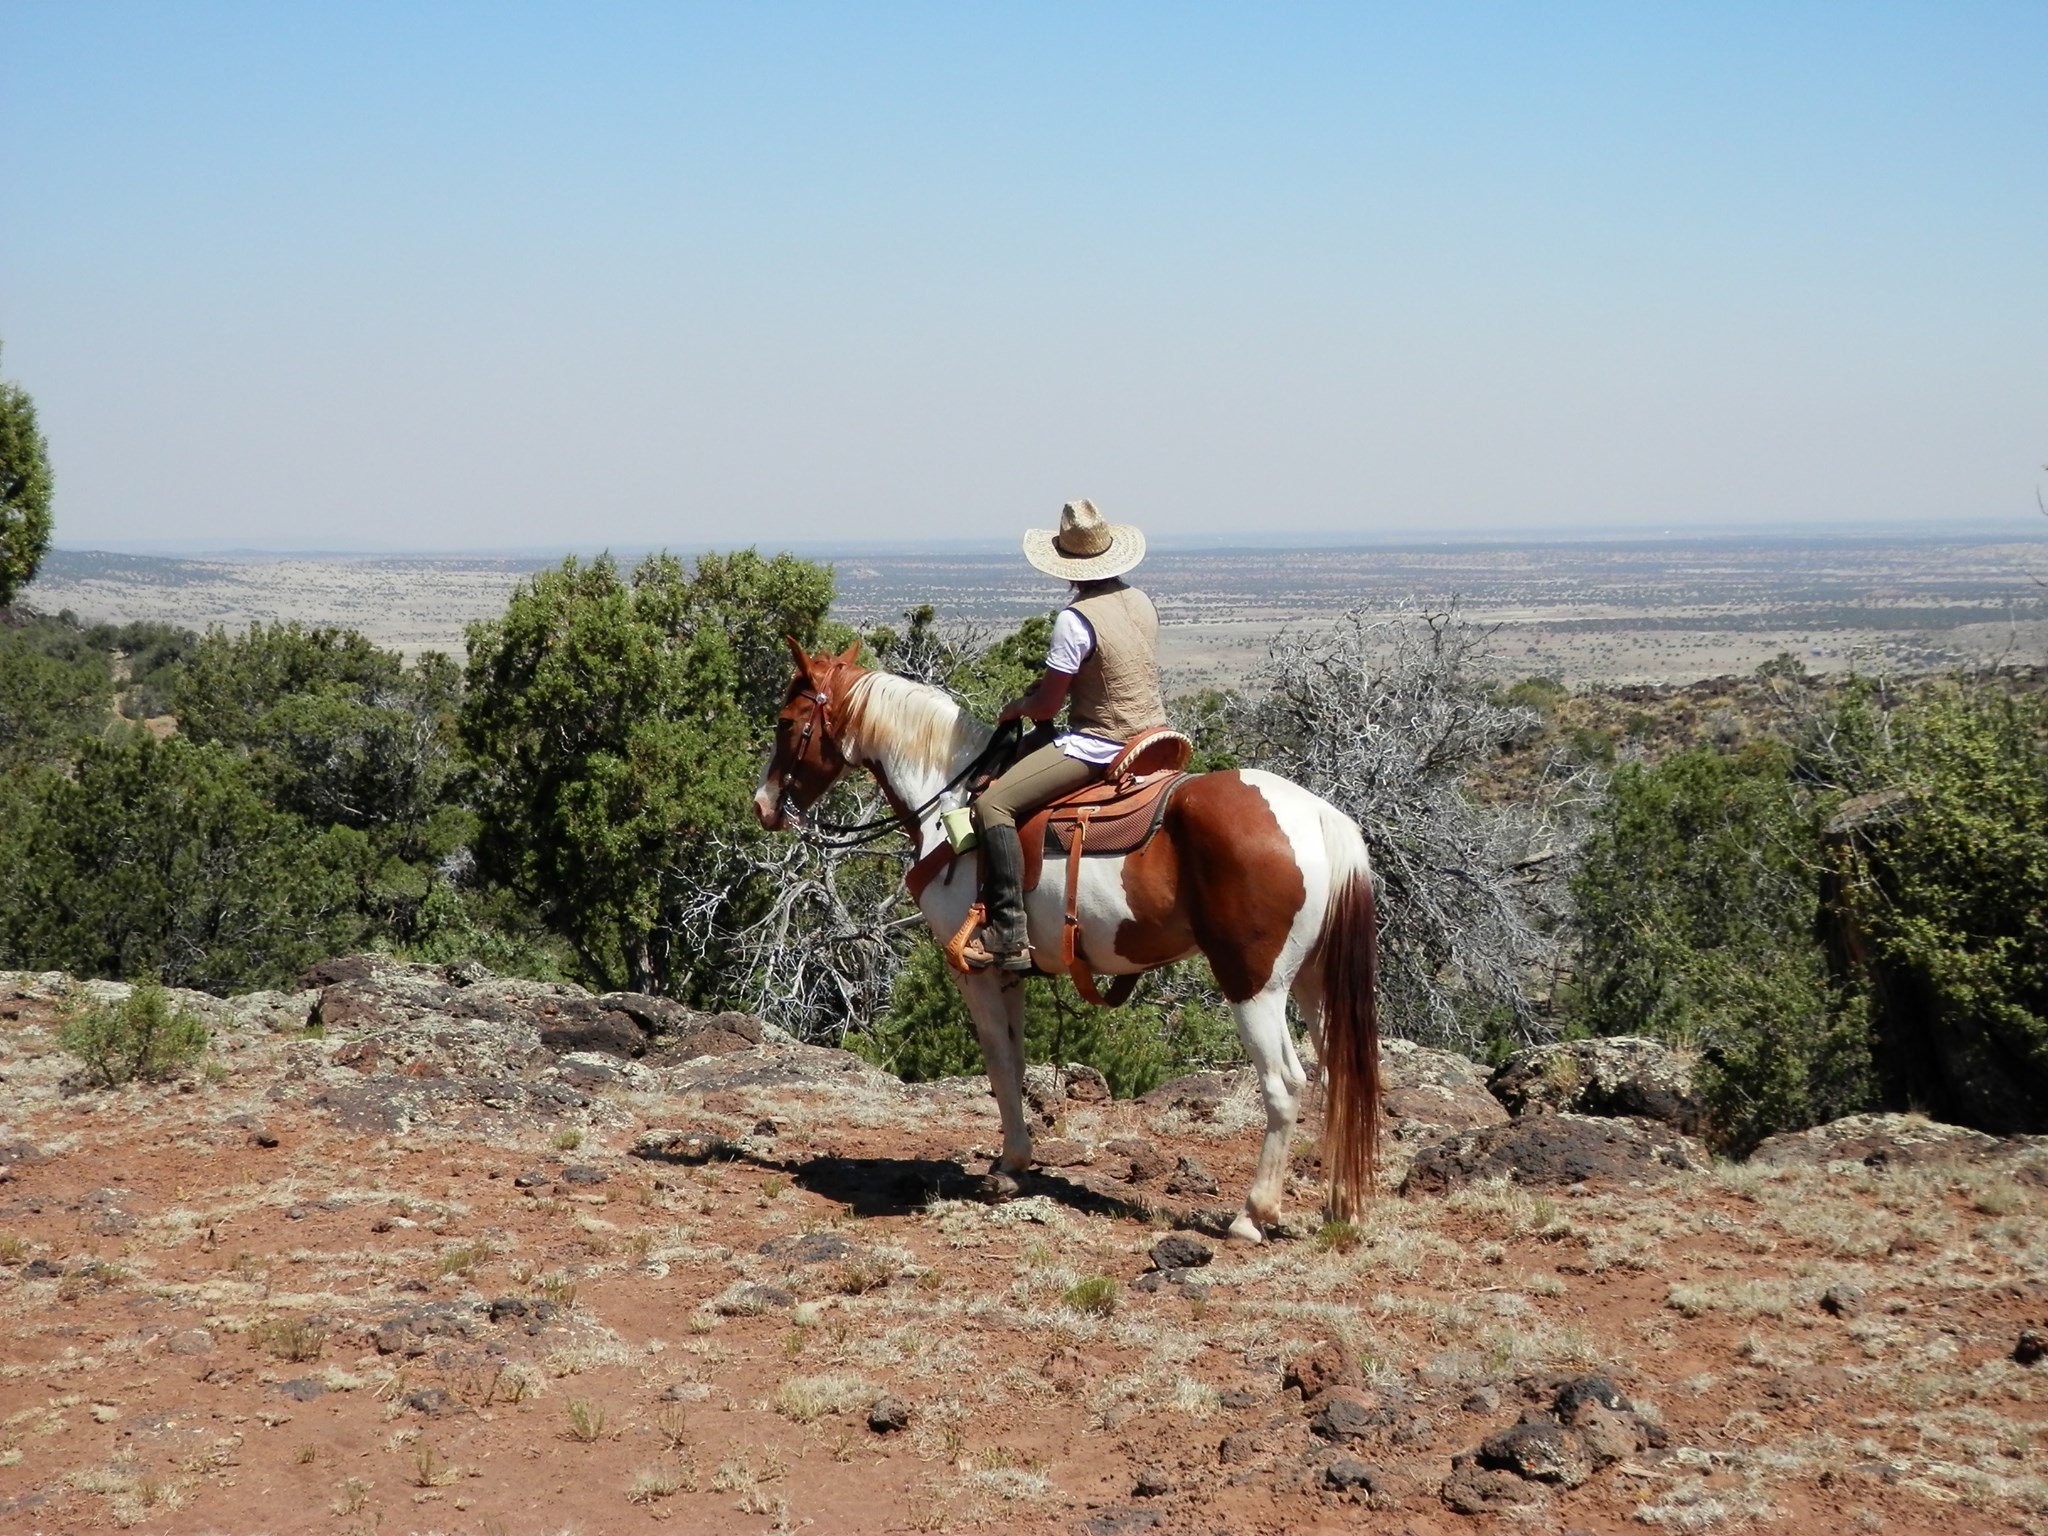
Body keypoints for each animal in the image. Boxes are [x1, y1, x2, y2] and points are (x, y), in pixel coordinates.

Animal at [753, 643, 1376, 1245]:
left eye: (786, 721)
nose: (764, 804)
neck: (949, 801)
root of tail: (1319, 817)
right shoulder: (1011, 971)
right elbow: (1016, 1062)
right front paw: (1015, 1162)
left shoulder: (974, 971)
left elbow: (999, 1063)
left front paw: (1009, 1165)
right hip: (1314, 983)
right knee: (1339, 1077)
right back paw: (1341, 1208)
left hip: (1253, 982)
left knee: (1285, 1085)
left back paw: (1252, 1215)